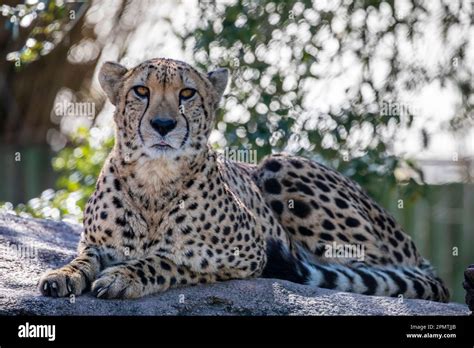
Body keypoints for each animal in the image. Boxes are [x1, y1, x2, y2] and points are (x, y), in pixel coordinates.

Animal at [40, 57, 460, 304]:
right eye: (140, 91)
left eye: (187, 93)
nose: (163, 124)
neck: (155, 179)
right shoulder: (95, 243)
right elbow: (84, 257)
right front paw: (64, 274)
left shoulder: (249, 252)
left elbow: (171, 259)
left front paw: (126, 275)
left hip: (280, 167)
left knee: (369, 271)